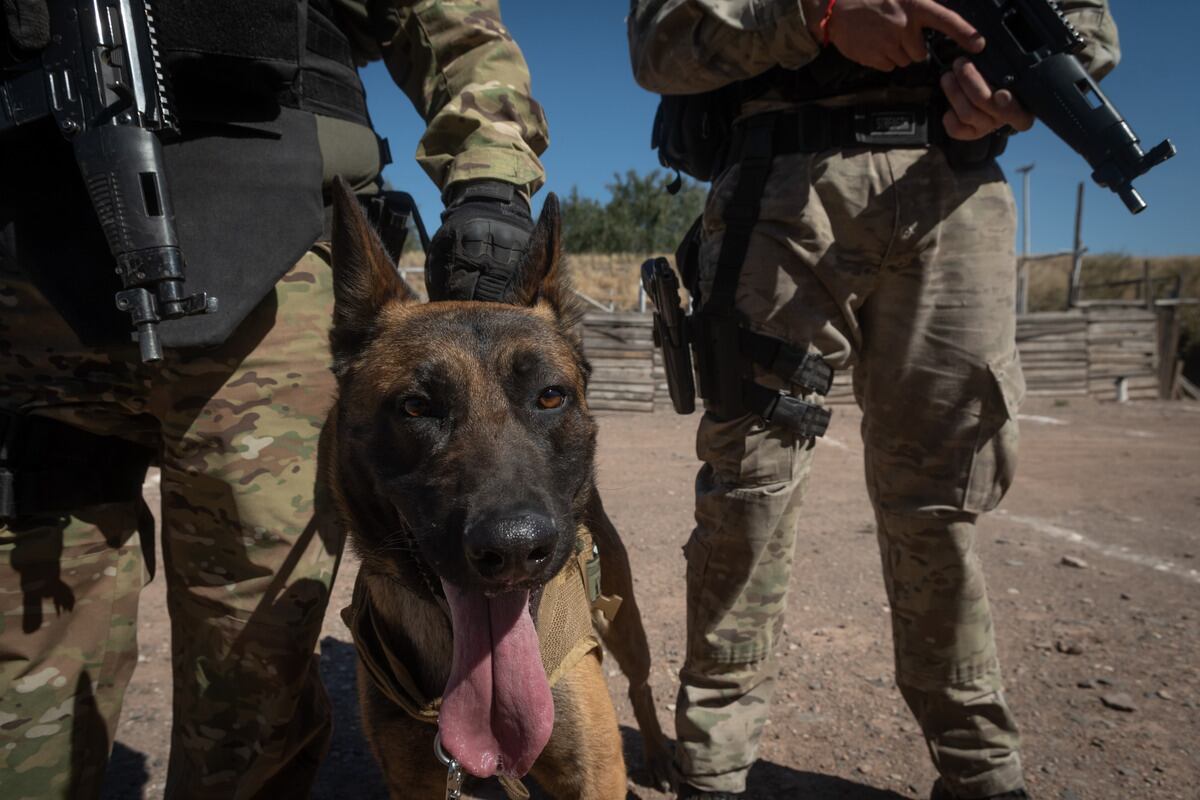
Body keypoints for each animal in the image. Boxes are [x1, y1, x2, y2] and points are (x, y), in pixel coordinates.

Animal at [316, 176, 676, 800]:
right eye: (416, 407)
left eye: (551, 396)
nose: (513, 548)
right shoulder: (415, 783)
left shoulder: (594, 775)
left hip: (625, 621)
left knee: (640, 681)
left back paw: (656, 752)